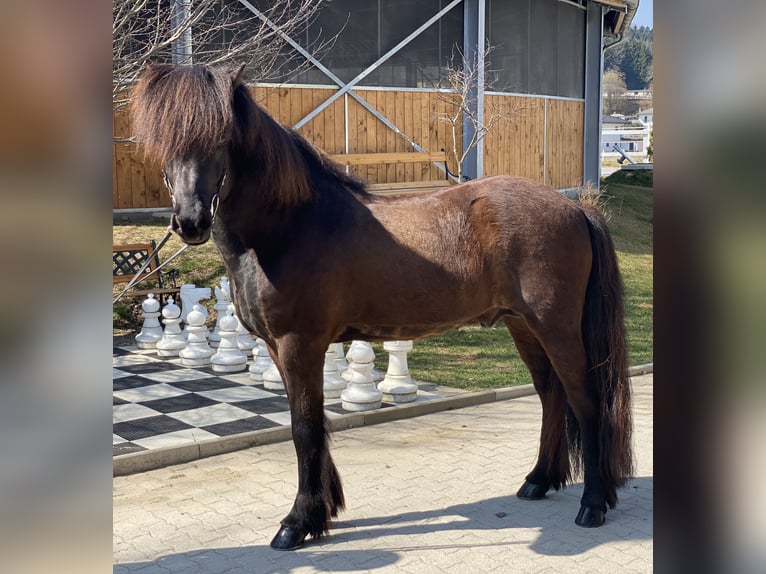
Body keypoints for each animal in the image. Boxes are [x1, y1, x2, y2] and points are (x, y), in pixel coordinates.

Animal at [132, 64, 636, 552]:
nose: (190, 221)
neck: (291, 225)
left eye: (220, 136)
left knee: (586, 401)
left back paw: (593, 504)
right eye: (162, 141)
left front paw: (297, 524)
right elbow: (310, 425)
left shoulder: (299, 345)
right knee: (551, 394)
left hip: (557, 328)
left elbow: (304, 428)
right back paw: (538, 481)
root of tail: (575, 208)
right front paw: (321, 512)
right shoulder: (278, 348)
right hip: (523, 326)